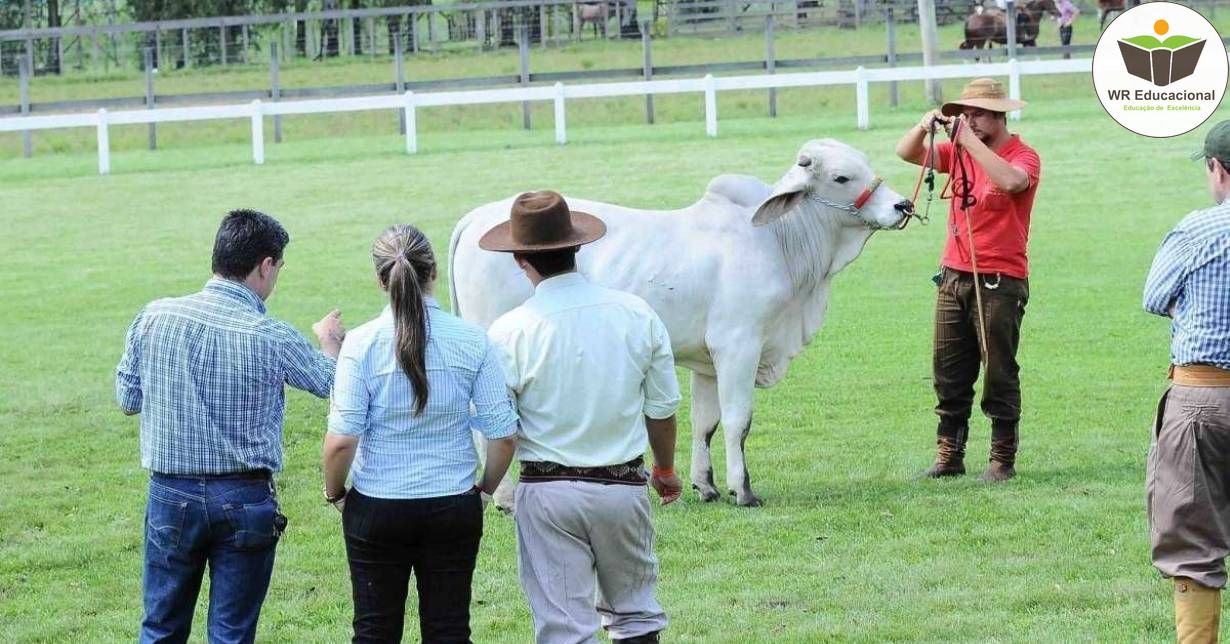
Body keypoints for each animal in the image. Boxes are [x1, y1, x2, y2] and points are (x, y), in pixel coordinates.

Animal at [452, 140, 915, 508]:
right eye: (841, 177)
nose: (903, 206)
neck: (778, 240)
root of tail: (473, 218)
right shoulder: (739, 345)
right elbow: (738, 420)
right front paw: (743, 490)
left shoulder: (708, 361)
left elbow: (706, 423)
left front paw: (706, 485)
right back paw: (505, 498)